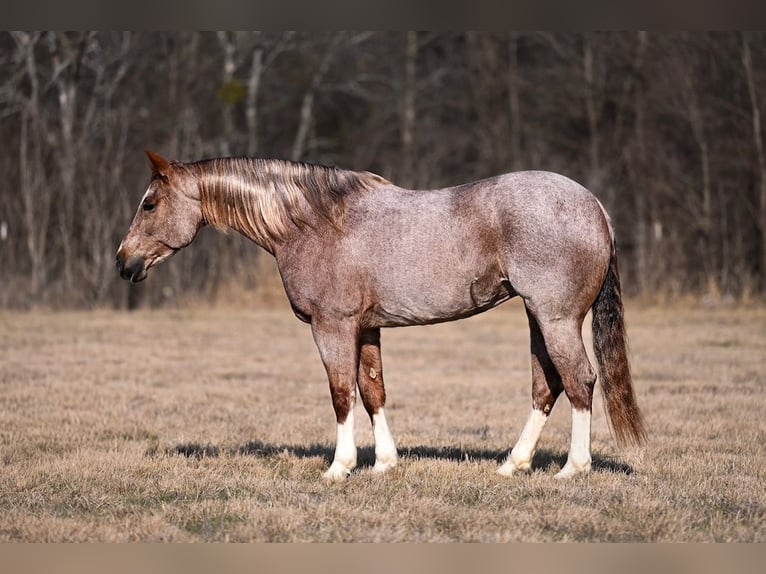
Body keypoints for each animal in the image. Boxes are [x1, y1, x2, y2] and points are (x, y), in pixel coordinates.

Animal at [116, 150, 646, 480]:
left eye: (150, 203)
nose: (124, 262)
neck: (312, 223)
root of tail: (595, 206)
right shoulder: (367, 327)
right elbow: (373, 391)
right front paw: (384, 462)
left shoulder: (333, 326)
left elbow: (341, 394)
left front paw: (339, 466)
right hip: (539, 318)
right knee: (547, 386)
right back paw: (512, 465)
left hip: (556, 319)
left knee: (580, 381)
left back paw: (573, 468)